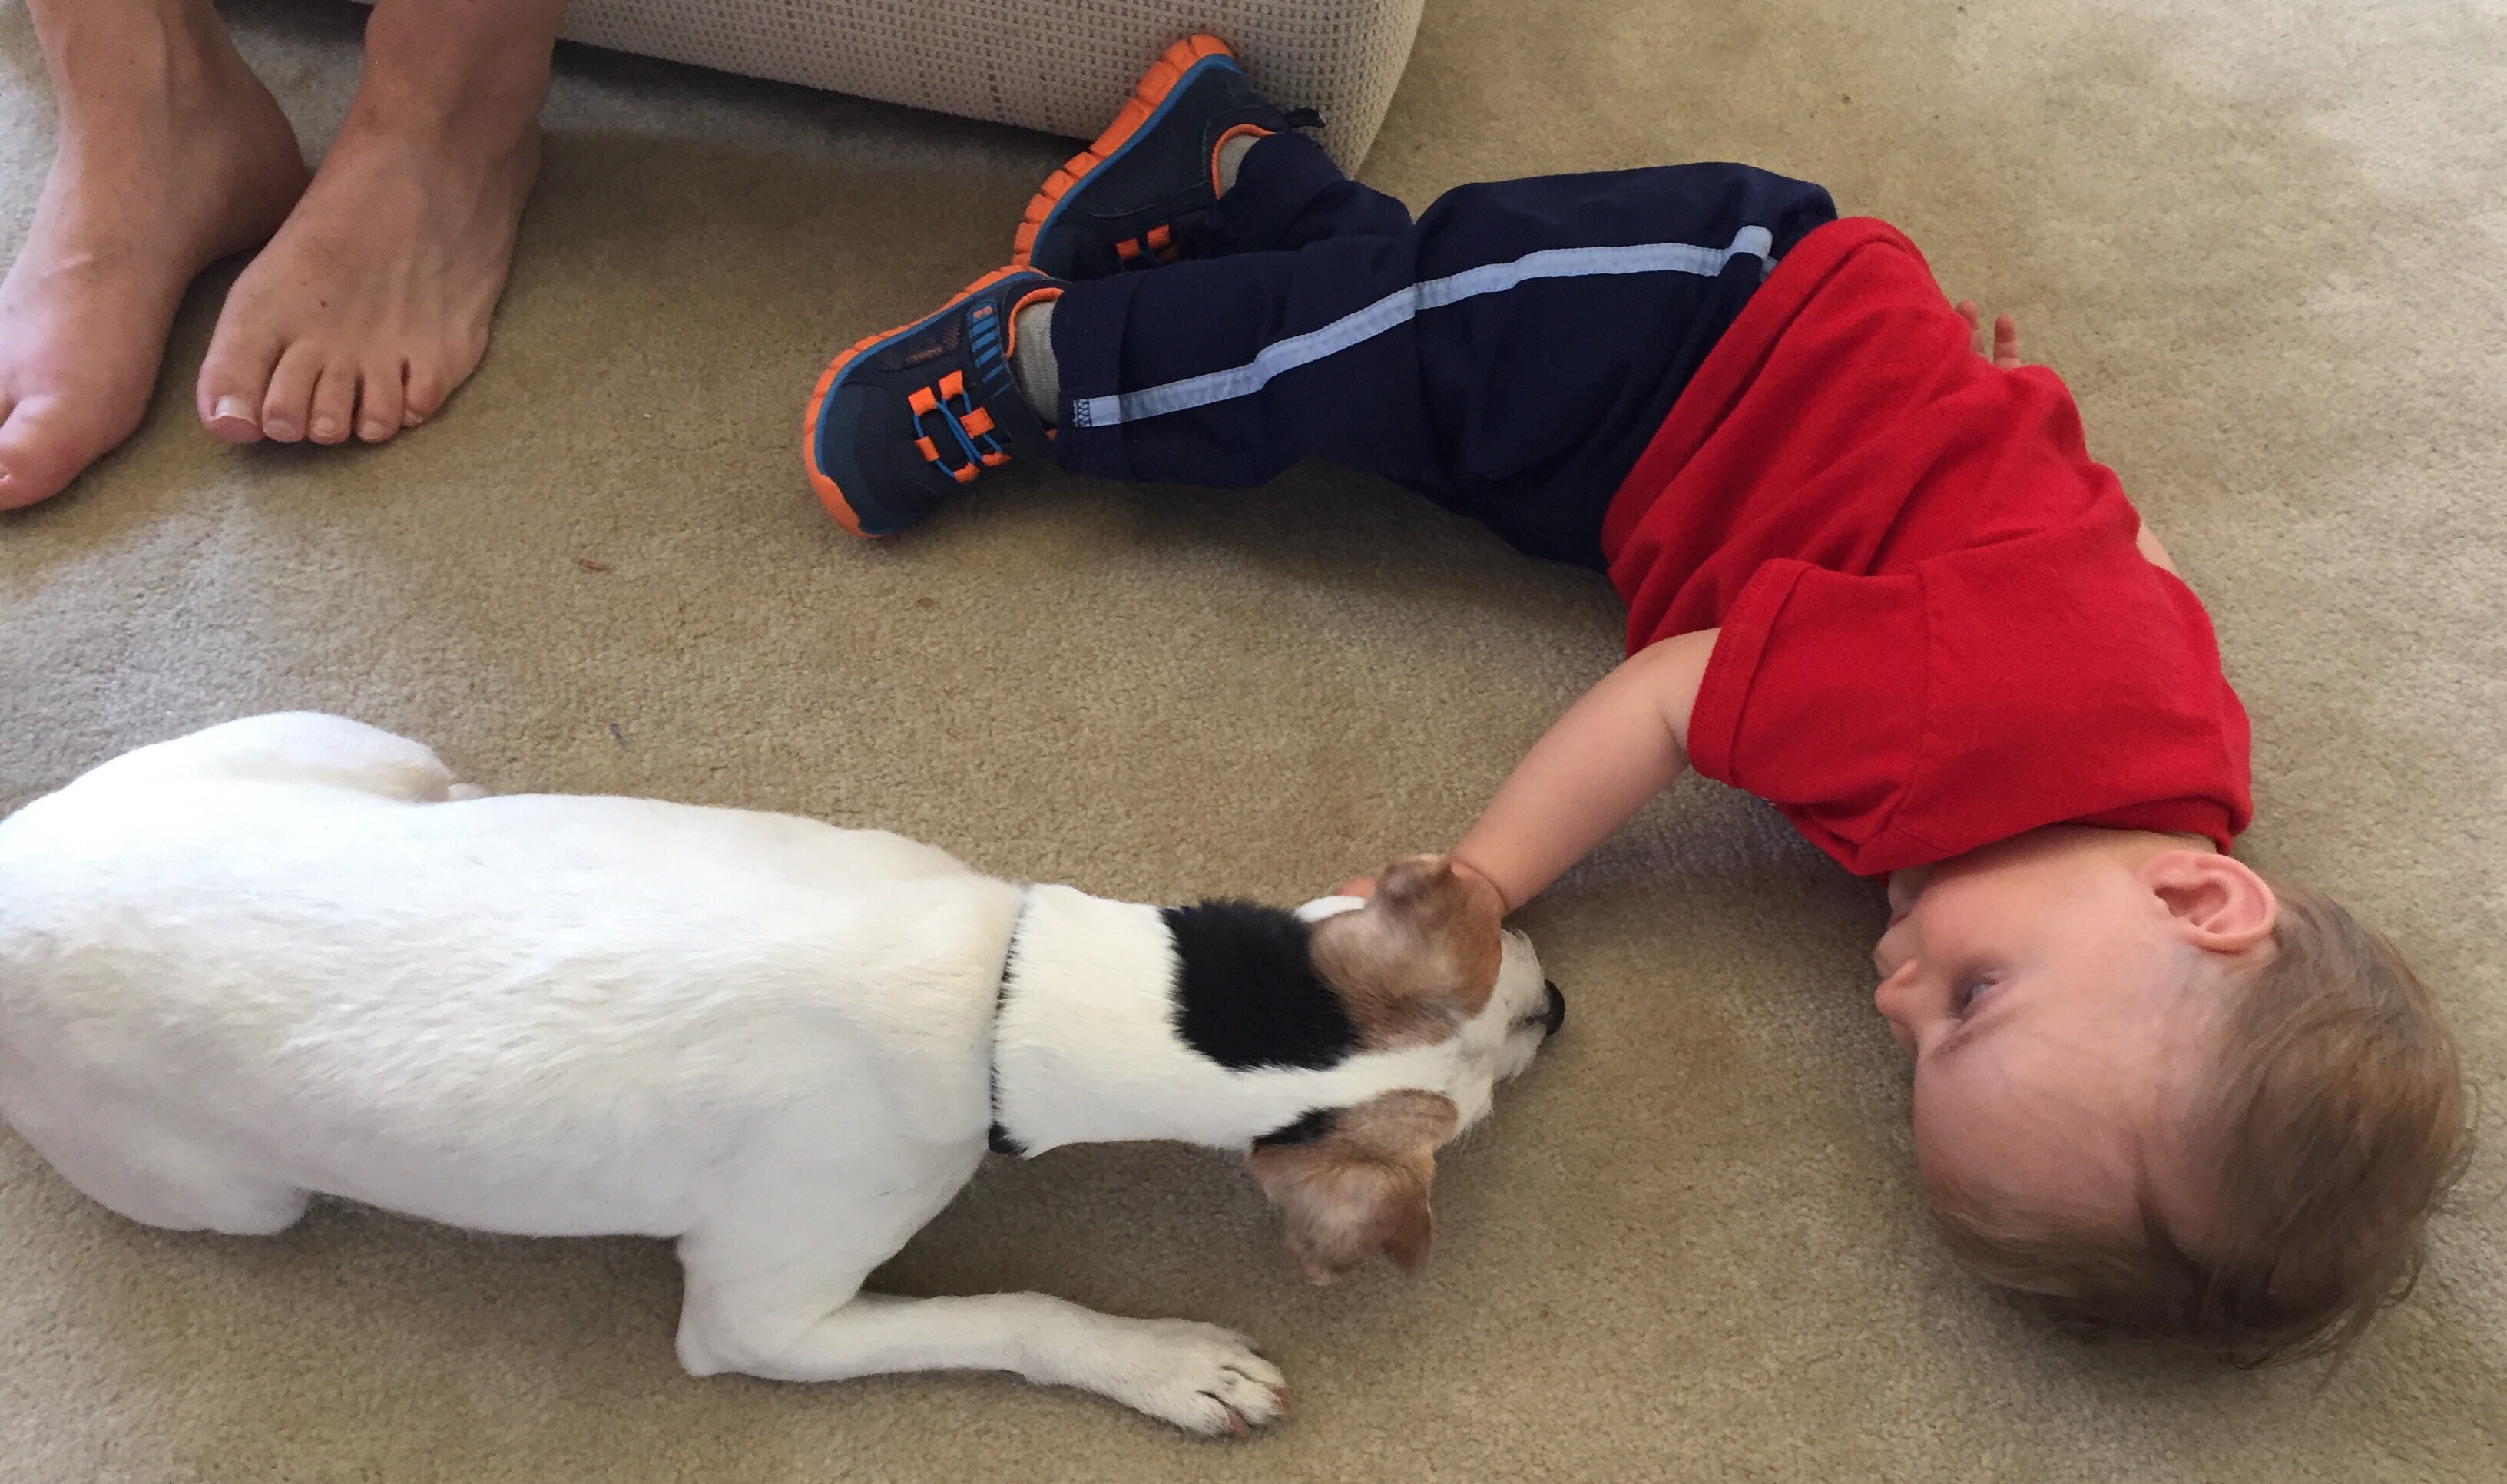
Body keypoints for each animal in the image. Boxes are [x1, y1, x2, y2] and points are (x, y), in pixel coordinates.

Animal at [0, 713, 1563, 1434]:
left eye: (1500, 950)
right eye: (1481, 1098)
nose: (1560, 1007)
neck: (1007, 993)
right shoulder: (763, 1318)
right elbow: (1021, 1311)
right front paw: (1167, 1362)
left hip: (344, 749)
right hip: (225, 1192)